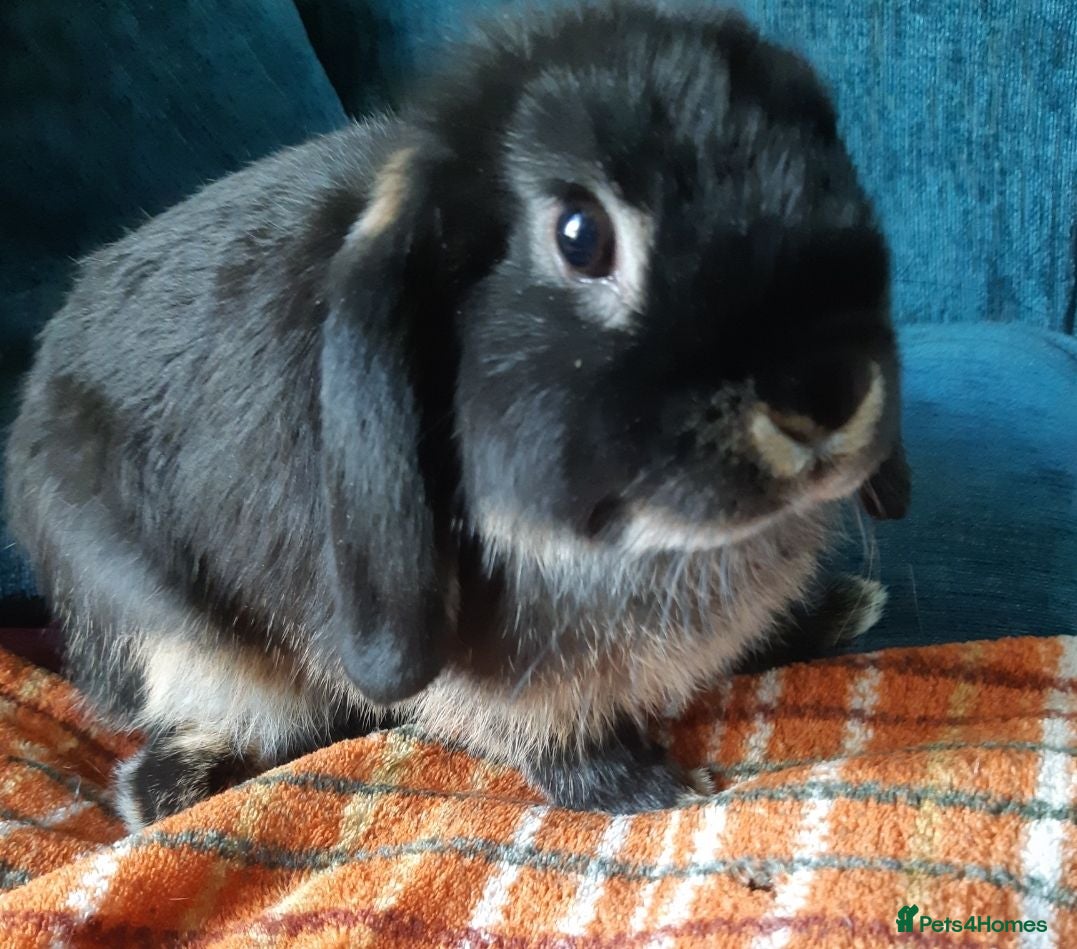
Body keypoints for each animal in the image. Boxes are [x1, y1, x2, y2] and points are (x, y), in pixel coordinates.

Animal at [4, 0, 909, 830]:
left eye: (829, 169)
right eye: (579, 235)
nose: (825, 392)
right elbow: (539, 728)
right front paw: (651, 785)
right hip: (179, 639)